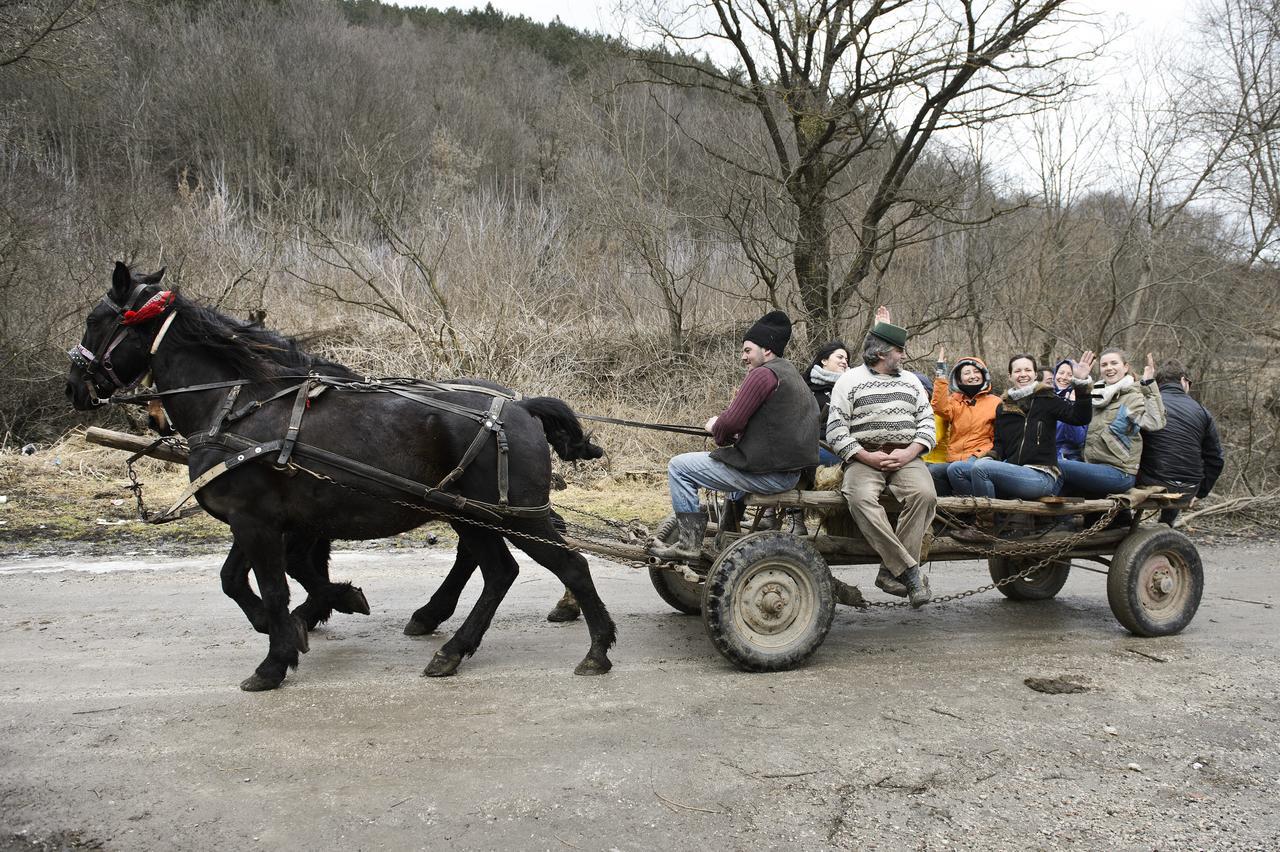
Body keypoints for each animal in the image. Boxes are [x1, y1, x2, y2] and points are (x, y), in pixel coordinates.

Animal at [67, 260, 616, 690]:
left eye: (95, 320)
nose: (74, 387)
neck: (233, 405)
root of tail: (521, 407)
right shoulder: (260, 521)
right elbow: (238, 581)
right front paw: (295, 623)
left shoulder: (257, 522)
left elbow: (276, 585)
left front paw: (274, 661)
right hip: (472, 515)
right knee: (497, 571)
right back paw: (450, 646)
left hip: (515, 515)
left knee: (567, 566)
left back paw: (596, 649)